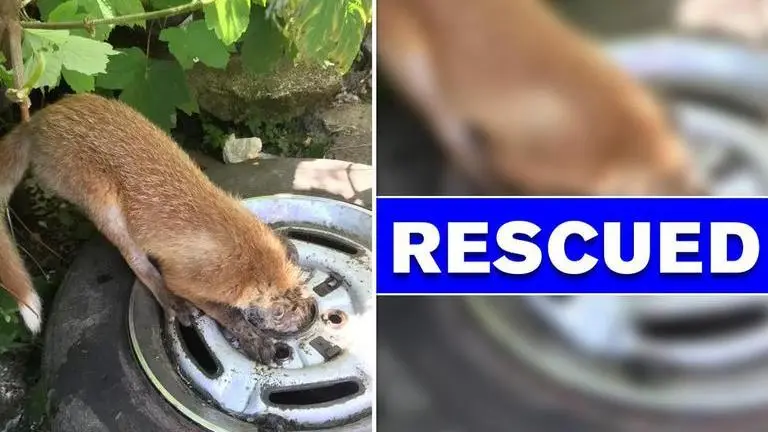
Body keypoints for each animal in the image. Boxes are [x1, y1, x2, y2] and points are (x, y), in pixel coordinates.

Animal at [0, 93, 315, 364]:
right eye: (279, 311)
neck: (241, 248)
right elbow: (226, 312)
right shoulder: (185, 279)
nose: (310, 314)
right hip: (105, 205)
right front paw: (253, 339)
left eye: (303, 287)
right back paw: (171, 302)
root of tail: (37, 119)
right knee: (136, 261)